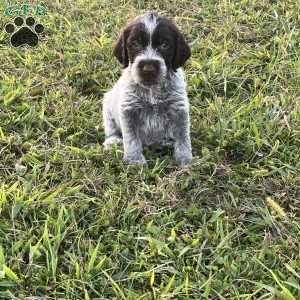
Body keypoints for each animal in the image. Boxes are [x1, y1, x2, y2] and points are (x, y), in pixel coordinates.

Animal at [102, 12, 192, 166]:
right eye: (135, 43)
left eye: (164, 44)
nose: (148, 68)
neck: (152, 89)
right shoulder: (129, 111)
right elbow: (132, 140)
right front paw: (135, 162)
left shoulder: (179, 110)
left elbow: (183, 139)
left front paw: (185, 162)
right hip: (108, 105)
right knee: (111, 128)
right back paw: (113, 141)